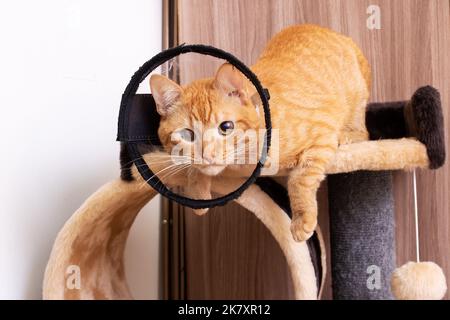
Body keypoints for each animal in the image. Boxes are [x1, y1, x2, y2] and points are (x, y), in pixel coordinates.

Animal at [149, 24, 370, 240]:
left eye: (226, 127)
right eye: (187, 135)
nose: (208, 155)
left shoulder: (322, 133)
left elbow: (300, 179)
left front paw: (301, 219)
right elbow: (195, 169)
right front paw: (198, 192)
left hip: (357, 98)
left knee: (364, 133)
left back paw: (347, 137)